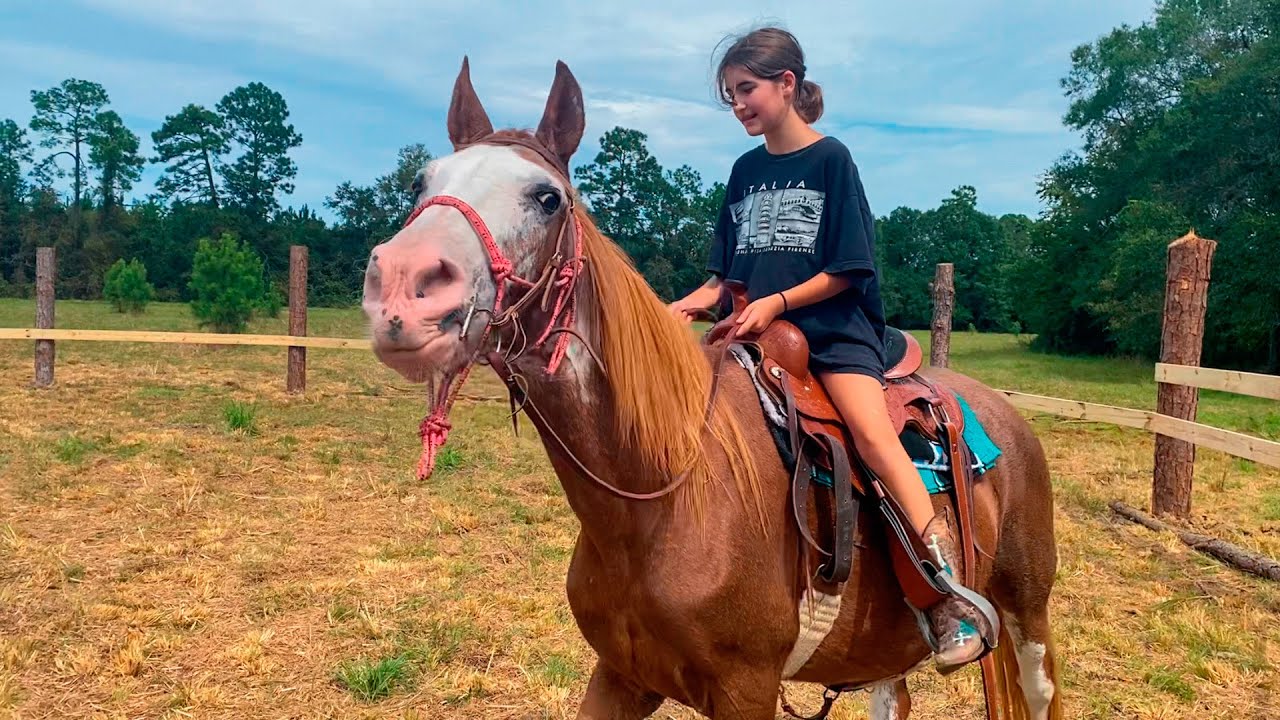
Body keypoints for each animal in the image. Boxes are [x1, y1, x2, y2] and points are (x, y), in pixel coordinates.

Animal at [359, 57, 1064, 720]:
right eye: (421, 183)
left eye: (547, 197)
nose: (402, 284)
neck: (665, 491)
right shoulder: (622, 676)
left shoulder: (746, 690)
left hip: (1027, 609)